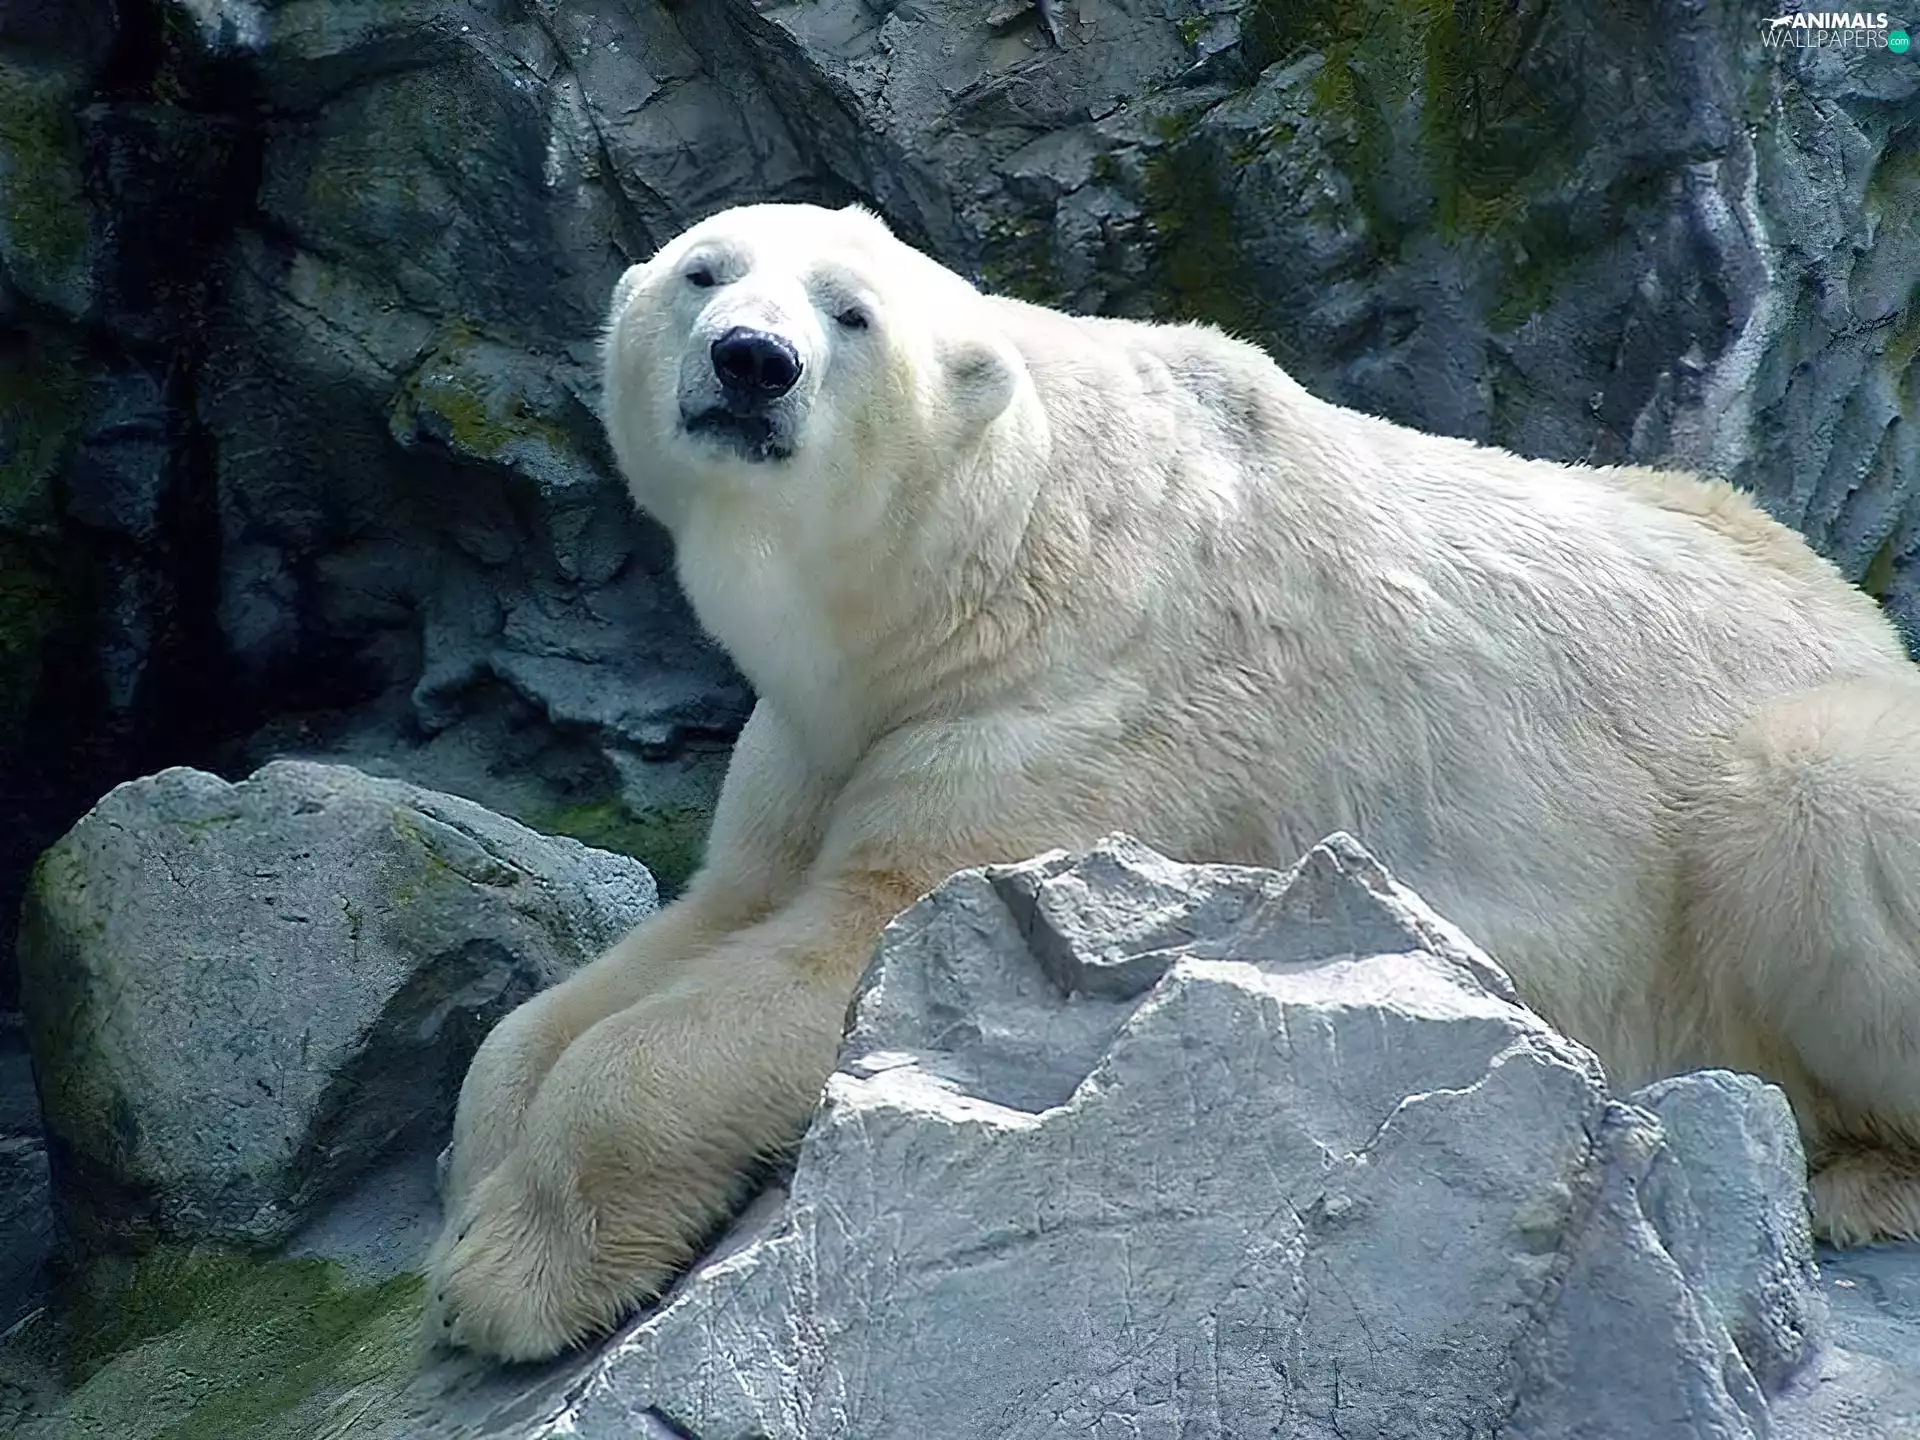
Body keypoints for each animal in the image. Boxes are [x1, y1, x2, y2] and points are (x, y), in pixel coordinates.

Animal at [423, 200, 1920, 1362]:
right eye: (704, 271)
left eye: (850, 316)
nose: (752, 361)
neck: (1000, 552)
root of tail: (1861, 615)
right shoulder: (815, 736)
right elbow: (689, 929)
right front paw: (476, 1180)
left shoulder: (1078, 710)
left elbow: (860, 952)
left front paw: (512, 1275)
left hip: (1779, 786)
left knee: (1817, 803)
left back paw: (1851, 1175)